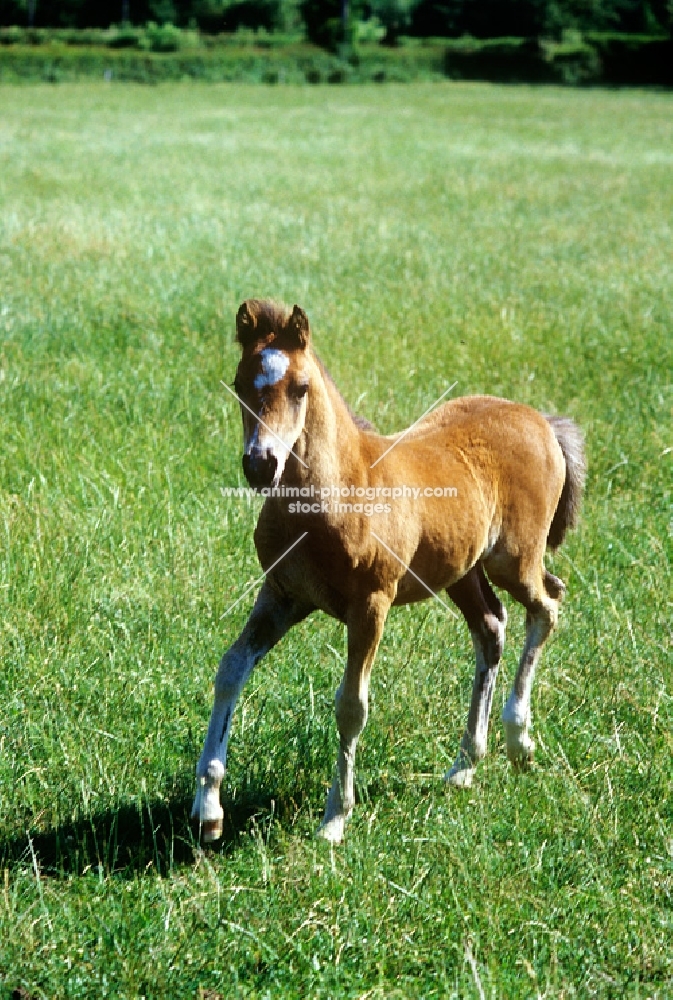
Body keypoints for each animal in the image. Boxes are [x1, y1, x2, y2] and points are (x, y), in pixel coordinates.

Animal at [190, 298, 584, 844]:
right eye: (240, 381)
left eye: (301, 387)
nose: (260, 465)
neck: (337, 493)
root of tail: (540, 419)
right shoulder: (282, 595)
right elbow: (230, 670)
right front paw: (207, 810)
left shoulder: (371, 603)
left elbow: (351, 705)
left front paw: (335, 819)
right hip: (461, 570)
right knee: (491, 627)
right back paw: (464, 765)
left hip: (513, 560)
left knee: (548, 604)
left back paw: (518, 742)